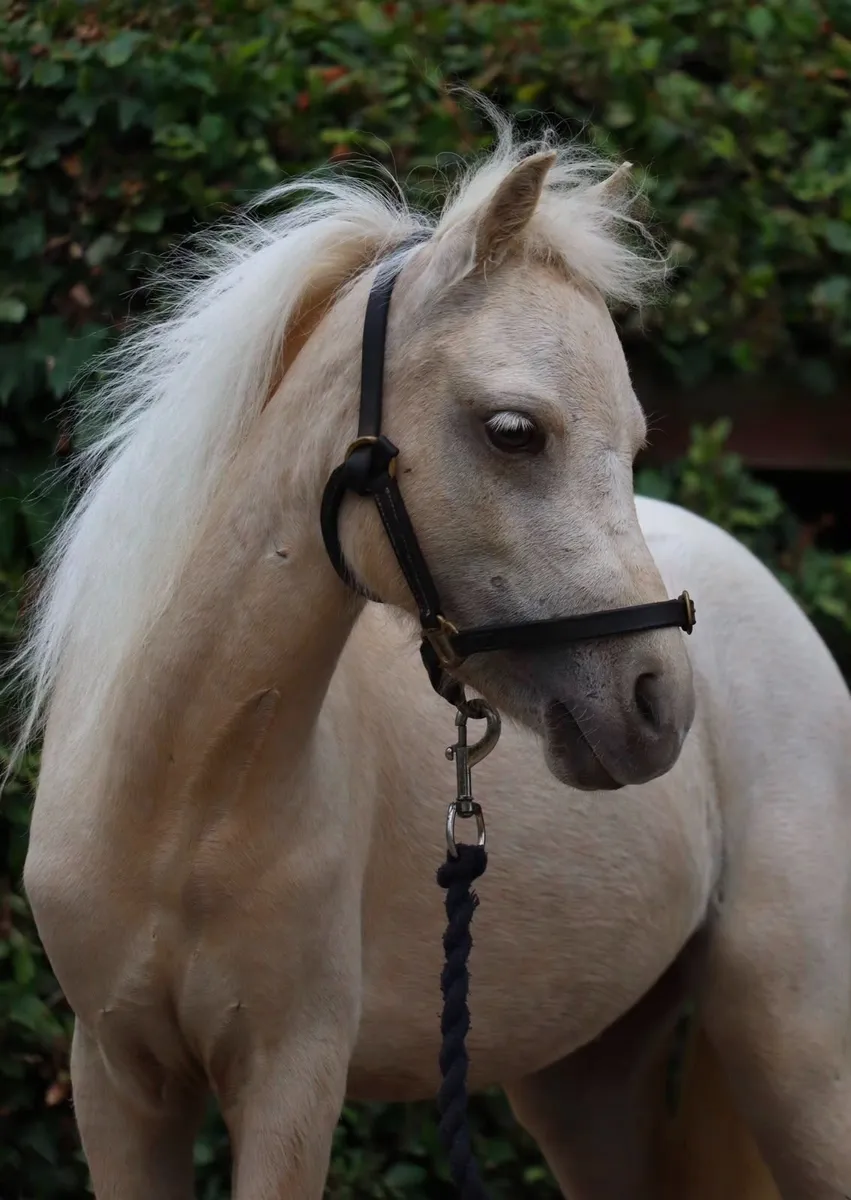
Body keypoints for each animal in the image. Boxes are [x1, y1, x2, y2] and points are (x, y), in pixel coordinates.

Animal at [15, 111, 851, 1199]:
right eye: (513, 431)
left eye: (631, 443)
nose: (656, 705)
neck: (179, 796)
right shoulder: (119, 1082)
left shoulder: (289, 1082)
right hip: (587, 1083)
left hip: (795, 1050)